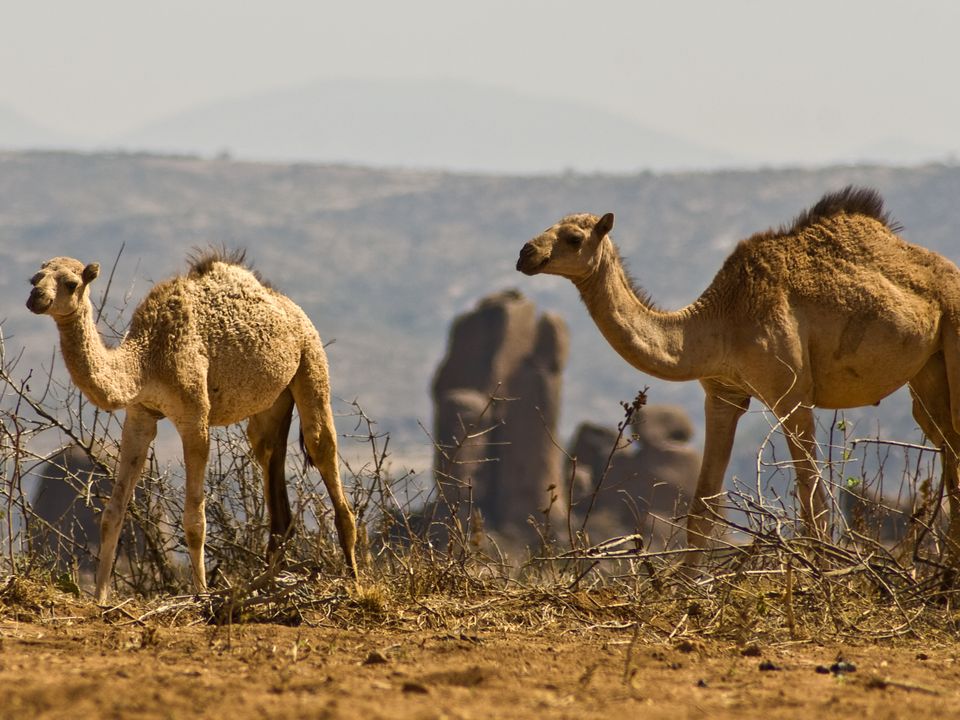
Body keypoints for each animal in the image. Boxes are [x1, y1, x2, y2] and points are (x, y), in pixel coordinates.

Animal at [27, 252, 356, 600]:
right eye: (35, 278)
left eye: (71, 283)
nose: (36, 297)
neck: (146, 359)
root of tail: (292, 309)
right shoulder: (140, 415)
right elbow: (113, 512)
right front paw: (101, 597)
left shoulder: (195, 416)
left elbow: (195, 520)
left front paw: (201, 593)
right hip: (273, 401)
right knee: (269, 454)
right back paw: (269, 582)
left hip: (311, 361)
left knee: (322, 447)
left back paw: (354, 581)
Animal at [516, 187, 960, 564]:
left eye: (574, 237)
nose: (525, 253)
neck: (721, 319)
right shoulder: (722, 394)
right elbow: (702, 509)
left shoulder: (792, 392)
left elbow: (813, 503)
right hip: (927, 371)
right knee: (947, 442)